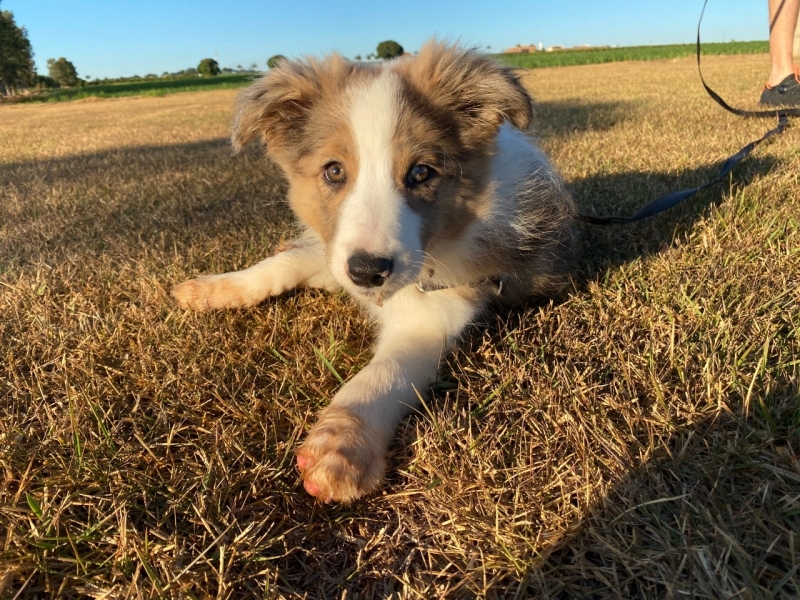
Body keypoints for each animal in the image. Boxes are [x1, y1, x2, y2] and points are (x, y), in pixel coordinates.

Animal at [173, 41, 576, 502]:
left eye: (421, 172)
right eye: (333, 170)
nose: (368, 272)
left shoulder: (434, 314)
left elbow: (381, 375)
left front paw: (341, 447)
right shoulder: (338, 252)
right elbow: (283, 264)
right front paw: (213, 289)